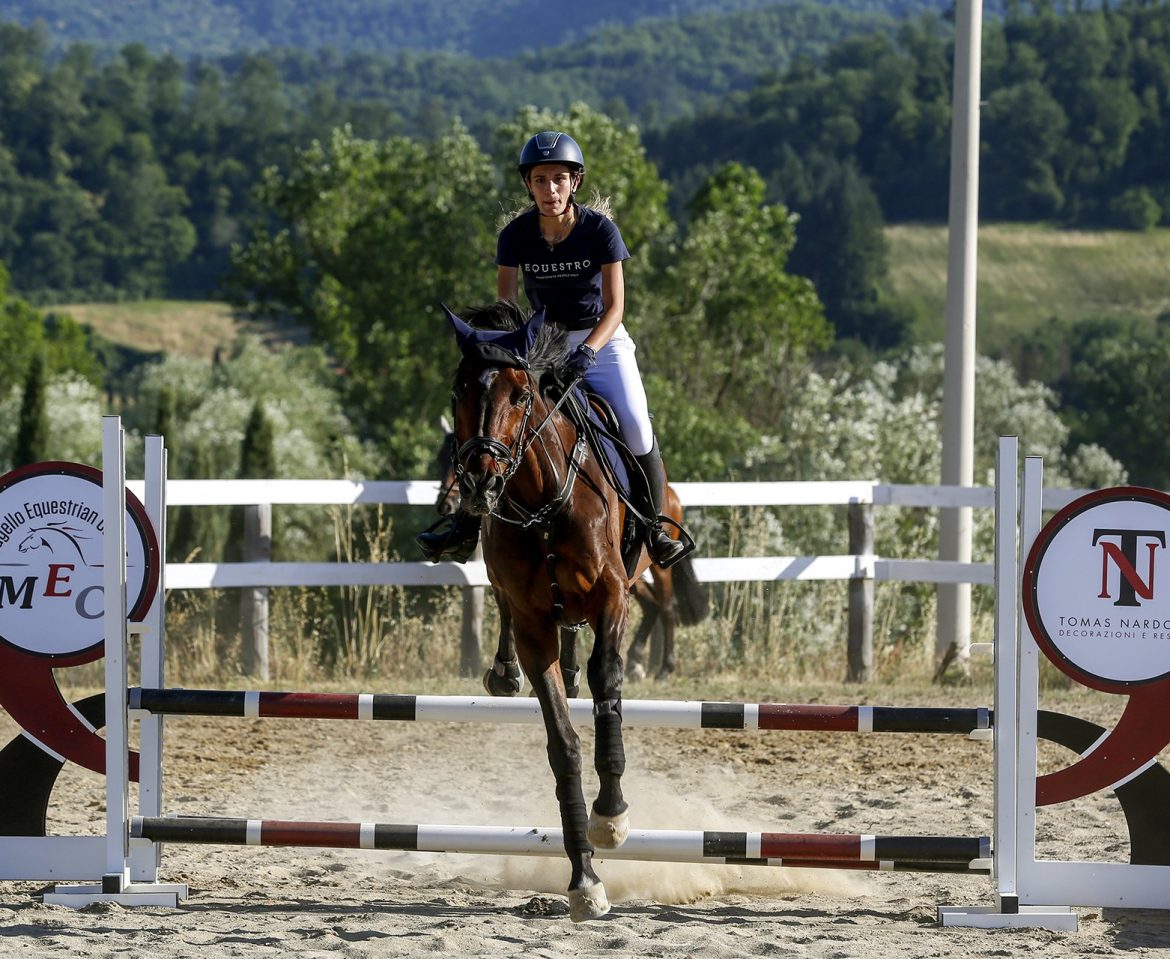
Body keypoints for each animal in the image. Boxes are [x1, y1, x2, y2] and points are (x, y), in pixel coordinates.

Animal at [430, 421, 702, 687]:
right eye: (441, 460)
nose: (447, 505)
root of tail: (672, 494)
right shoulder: (505, 573)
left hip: (654, 566)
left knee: (666, 606)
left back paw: (664, 668)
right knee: (651, 604)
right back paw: (634, 662)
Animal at [442, 301, 678, 921]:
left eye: (521, 394)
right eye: (459, 390)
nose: (479, 480)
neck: (541, 502)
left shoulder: (613, 598)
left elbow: (607, 688)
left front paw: (611, 817)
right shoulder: (533, 626)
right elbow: (563, 745)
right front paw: (584, 880)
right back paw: (505, 673)